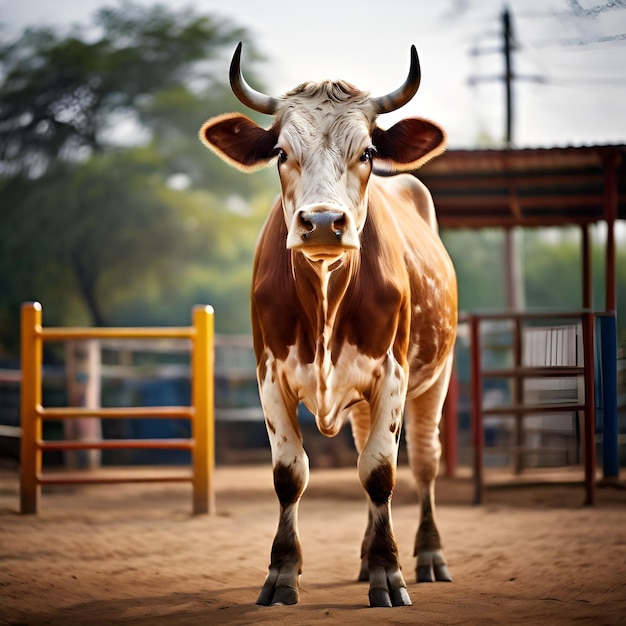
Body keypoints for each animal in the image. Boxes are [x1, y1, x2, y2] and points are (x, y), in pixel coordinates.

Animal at [200, 42, 454, 604]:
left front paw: (389, 573)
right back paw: (363, 556)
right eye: (280, 153)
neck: (324, 296)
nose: (321, 223)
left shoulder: (393, 374)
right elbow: (289, 474)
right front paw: (282, 572)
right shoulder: (269, 376)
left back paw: (428, 555)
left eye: (368, 152)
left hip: (434, 381)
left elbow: (380, 473)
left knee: (425, 462)